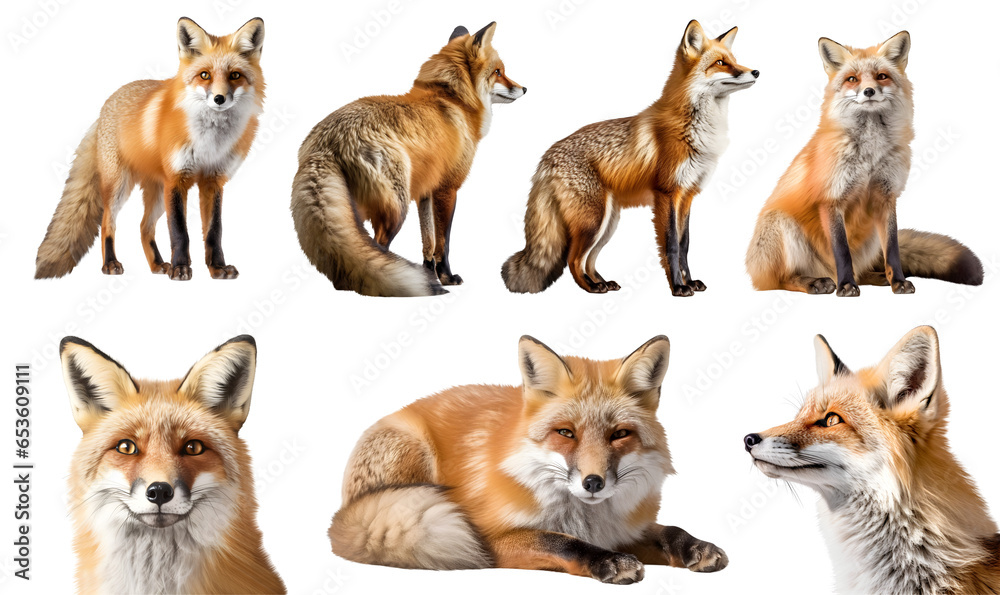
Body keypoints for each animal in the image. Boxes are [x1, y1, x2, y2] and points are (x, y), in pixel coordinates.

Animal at [35, 17, 265, 281]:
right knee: (107, 223)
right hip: (120, 186)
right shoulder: (177, 180)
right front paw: (180, 268)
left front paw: (217, 268)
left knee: (144, 227)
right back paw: (111, 264)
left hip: (156, 194)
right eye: (204, 75)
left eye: (235, 75)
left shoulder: (213, 180)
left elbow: (213, 232)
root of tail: (105, 106)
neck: (210, 141)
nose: (219, 98)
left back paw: (157, 265)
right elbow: (180, 232)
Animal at [291, 22, 525, 297]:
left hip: (354, 212)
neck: (453, 99)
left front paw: (429, 275)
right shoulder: (447, 189)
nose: (525, 88)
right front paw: (446, 278)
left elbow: (428, 242)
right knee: (378, 247)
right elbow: (443, 243)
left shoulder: (425, 191)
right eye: (498, 72)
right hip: (395, 208)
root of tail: (326, 142)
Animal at [329, 335, 728, 583]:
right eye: (566, 433)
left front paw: (695, 547)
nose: (593, 482)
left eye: (619, 434)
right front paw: (606, 562)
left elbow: (669, 531)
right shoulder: (490, 537)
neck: (586, 519)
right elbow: (560, 541)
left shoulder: (624, 529)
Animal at [502, 20, 757, 296]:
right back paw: (591, 287)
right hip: (593, 221)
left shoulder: (687, 194)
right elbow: (671, 245)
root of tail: (546, 156)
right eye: (721, 63)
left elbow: (685, 244)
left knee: (589, 259)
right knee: (573, 259)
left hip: (608, 223)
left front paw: (690, 282)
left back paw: (602, 282)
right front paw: (678, 287)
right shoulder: (667, 192)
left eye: (735, 60)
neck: (697, 130)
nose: (756, 72)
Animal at [746, 32, 983, 296]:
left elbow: (893, 250)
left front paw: (898, 281)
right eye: (852, 79)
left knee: (864, 268)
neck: (869, 155)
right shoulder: (831, 199)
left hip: (871, 236)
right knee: (782, 279)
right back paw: (817, 282)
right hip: (780, 225)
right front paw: (846, 285)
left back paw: (879, 278)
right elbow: (842, 252)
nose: (869, 91)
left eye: (881, 76)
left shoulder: (886, 197)